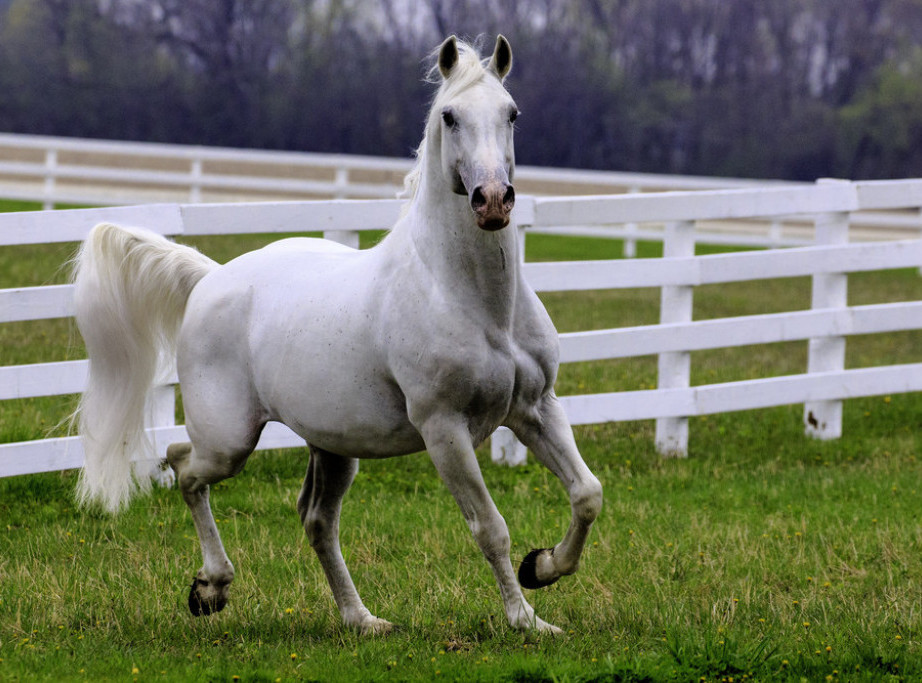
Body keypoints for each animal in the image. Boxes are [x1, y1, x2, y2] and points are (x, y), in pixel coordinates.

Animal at [73, 36, 604, 636]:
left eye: (511, 114)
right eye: (450, 116)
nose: (493, 200)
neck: (477, 304)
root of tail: (210, 278)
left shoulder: (535, 407)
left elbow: (587, 494)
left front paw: (542, 567)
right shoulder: (444, 429)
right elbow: (490, 528)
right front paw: (525, 620)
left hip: (332, 445)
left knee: (316, 519)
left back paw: (362, 619)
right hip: (229, 438)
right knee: (183, 464)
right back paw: (211, 588)